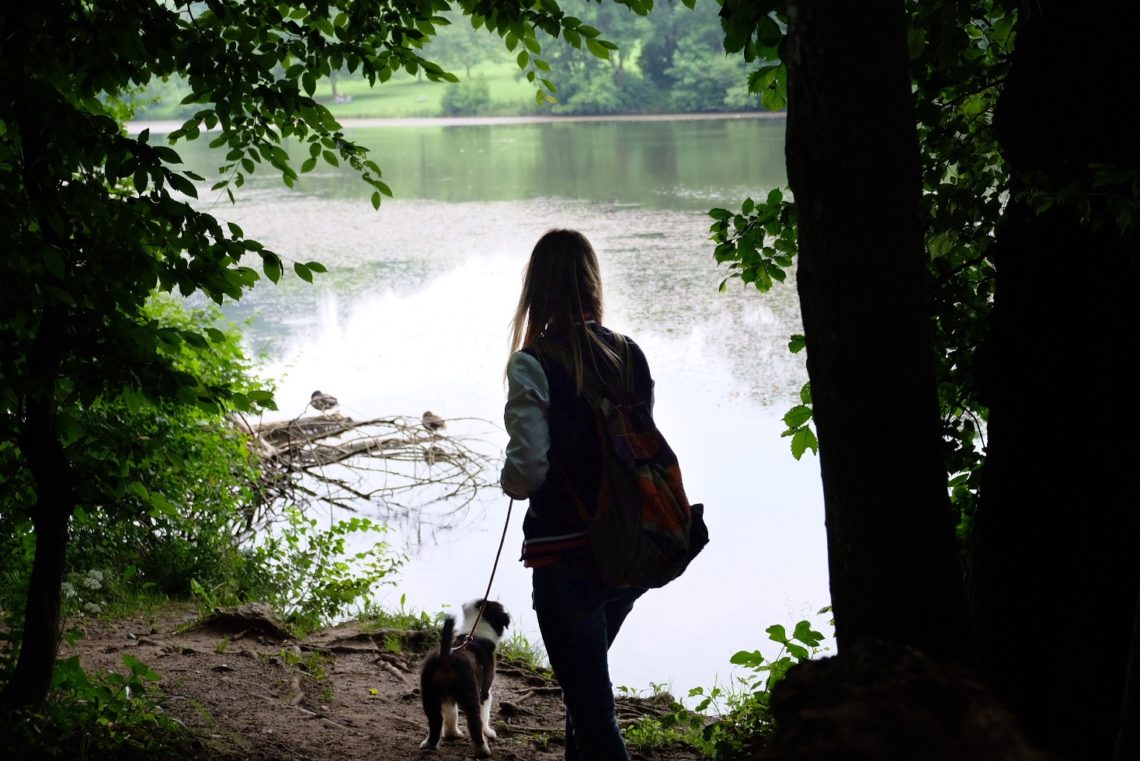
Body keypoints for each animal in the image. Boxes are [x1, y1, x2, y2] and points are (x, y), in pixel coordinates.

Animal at [417, 601, 510, 756]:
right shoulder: (485, 692)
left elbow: (451, 713)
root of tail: (445, 655)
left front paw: (451, 733)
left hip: (430, 695)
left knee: (435, 720)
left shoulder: (448, 697)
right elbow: (485, 716)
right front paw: (488, 732)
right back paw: (483, 750)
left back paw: (430, 744)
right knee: (474, 724)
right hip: (470, 695)